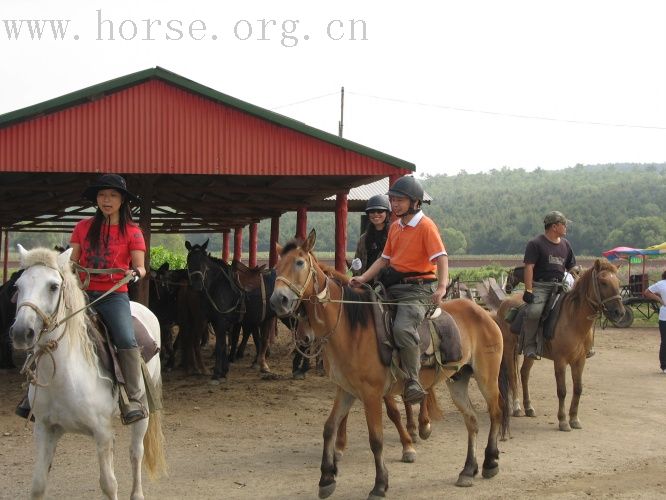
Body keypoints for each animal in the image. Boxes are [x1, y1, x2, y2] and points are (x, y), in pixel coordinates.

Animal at [10, 247, 166, 500]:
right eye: (18, 285)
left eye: (53, 286)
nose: (22, 332)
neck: (65, 376)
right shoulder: (44, 429)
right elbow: (38, 484)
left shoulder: (102, 432)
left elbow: (109, 484)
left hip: (144, 407)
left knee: (136, 453)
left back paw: (137, 493)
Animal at [270, 231, 508, 500]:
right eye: (277, 267)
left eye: (299, 262)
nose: (278, 300)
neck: (350, 326)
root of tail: (484, 314)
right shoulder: (346, 390)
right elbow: (329, 427)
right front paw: (326, 478)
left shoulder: (371, 394)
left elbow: (376, 438)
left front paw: (380, 484)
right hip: (458, 381)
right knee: (472, 420)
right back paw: (468, 470)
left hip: (487, 377)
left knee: (495, 412)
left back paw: (490, 463)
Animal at [492, 260, 624, 432]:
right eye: (603, 282)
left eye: (618, 283)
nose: (619, 312)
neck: (574, 320)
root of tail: (505, 303)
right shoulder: (560, 361)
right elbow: (562, 391)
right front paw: (562, 421)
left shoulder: (580, 361)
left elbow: (578, 389)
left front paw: (574, 419)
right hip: (508, 350)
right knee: (513, 376)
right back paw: (517, 407)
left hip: (529, 353)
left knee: (524, 374)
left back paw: (529, 407)